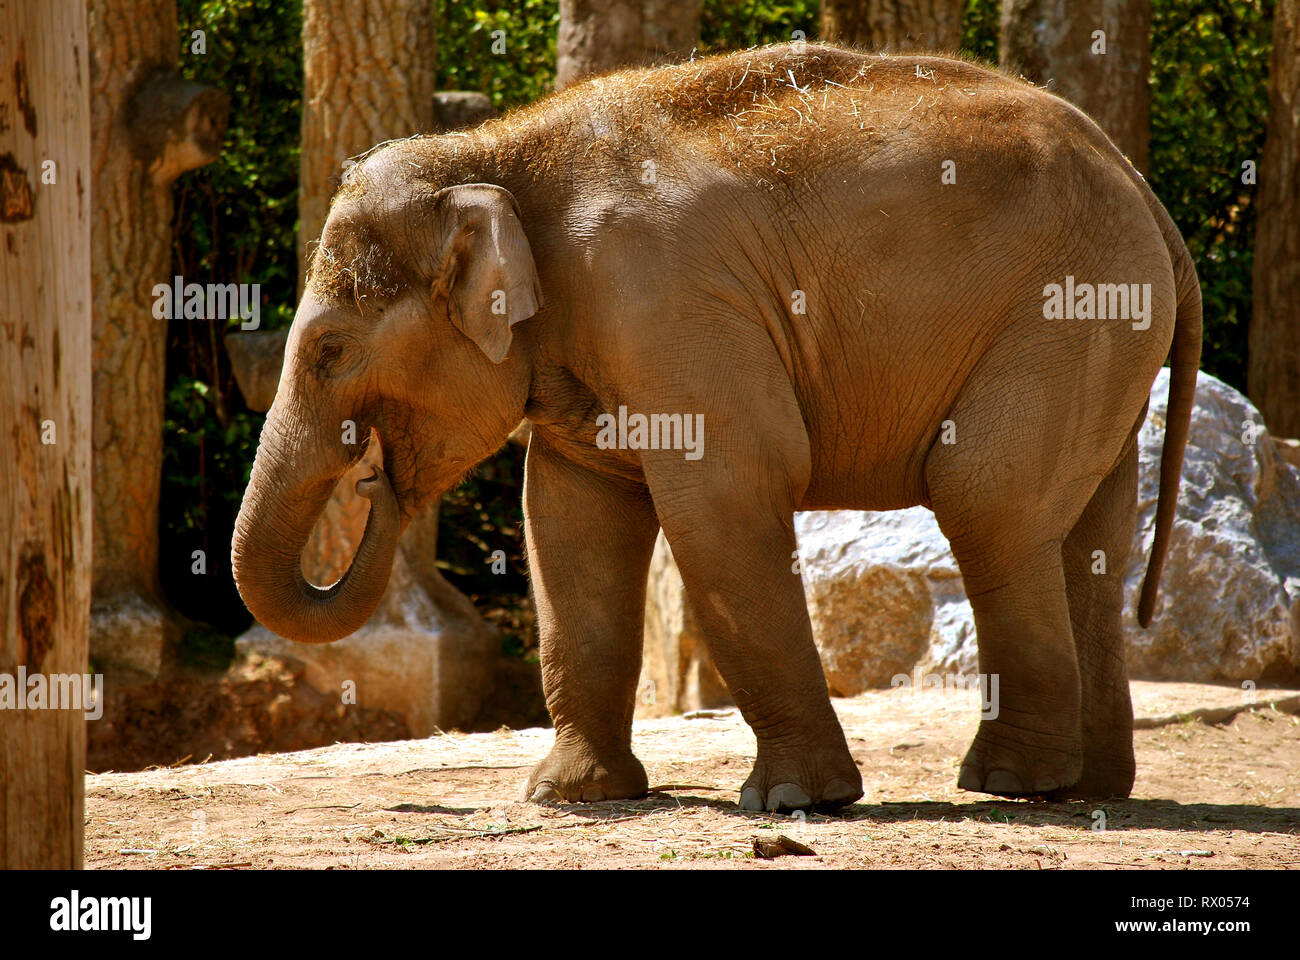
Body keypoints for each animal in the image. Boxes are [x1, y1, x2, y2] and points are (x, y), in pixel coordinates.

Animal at [231, 42, 1196, 806]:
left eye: (329, 351)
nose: (375, 474)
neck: (498, 150)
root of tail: (1144, 189)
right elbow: (570, 524)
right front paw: (570, 797)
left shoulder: (670, 307)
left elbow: (725, 505)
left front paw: (794, 802)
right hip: (1108, 327)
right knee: (1086, 535)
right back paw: (1091, 788)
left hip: (1067, 308)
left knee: (985, 499)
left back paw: (1009, 785)